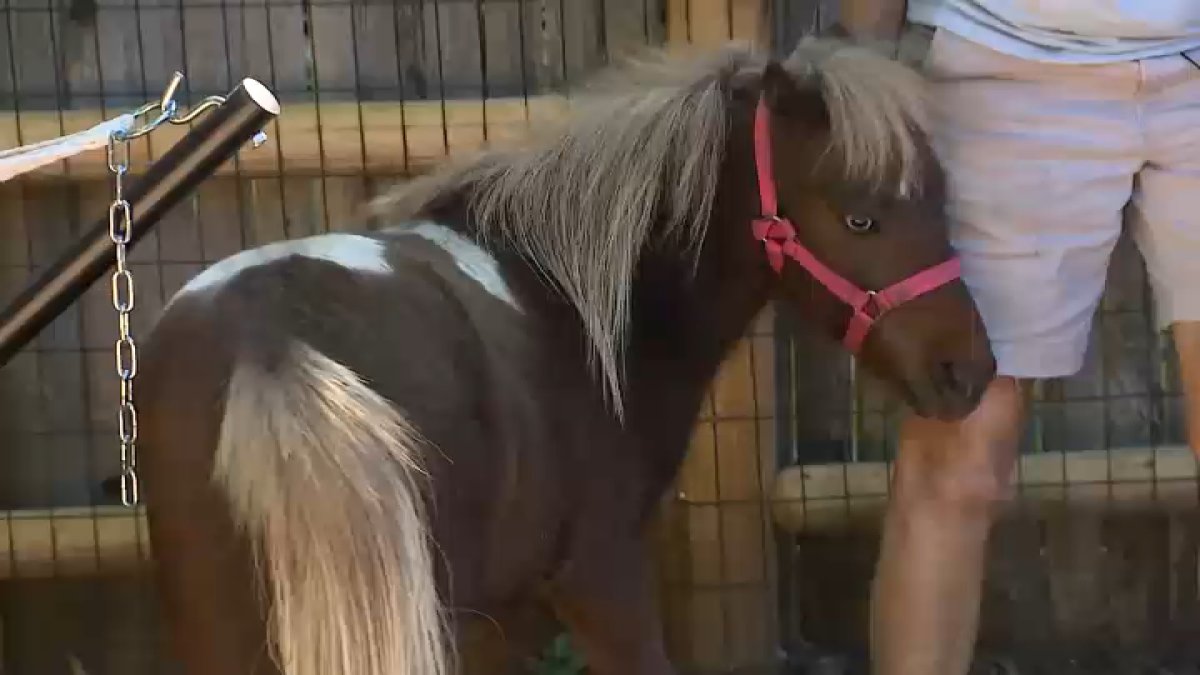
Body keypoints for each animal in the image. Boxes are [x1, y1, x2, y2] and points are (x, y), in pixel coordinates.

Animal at [135, 38, 995, 675]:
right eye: (859, 218)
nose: (969, 371)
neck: (569, 297)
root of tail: (271, 339)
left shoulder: (491, 619)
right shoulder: (602, 579)